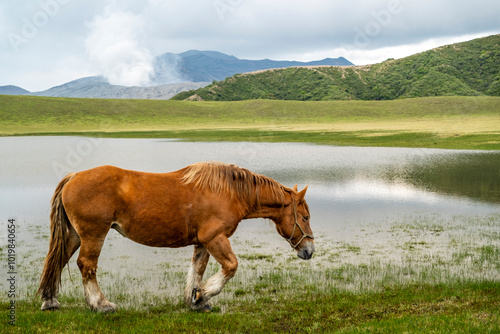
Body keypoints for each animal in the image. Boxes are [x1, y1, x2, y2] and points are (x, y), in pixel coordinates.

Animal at [37, 162, 314, 314]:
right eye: (305, 216)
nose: (309, 250)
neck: (230, 192)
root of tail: (73, 177)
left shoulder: (202, 242)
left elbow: (197, 270)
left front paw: (196, 300)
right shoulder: (215, 238)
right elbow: (230, 267)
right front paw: (203, 295)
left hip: (75, 236)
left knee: (57, 261)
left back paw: (50, 300)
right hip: (94, 234)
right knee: (87, 266)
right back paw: (101, 304)